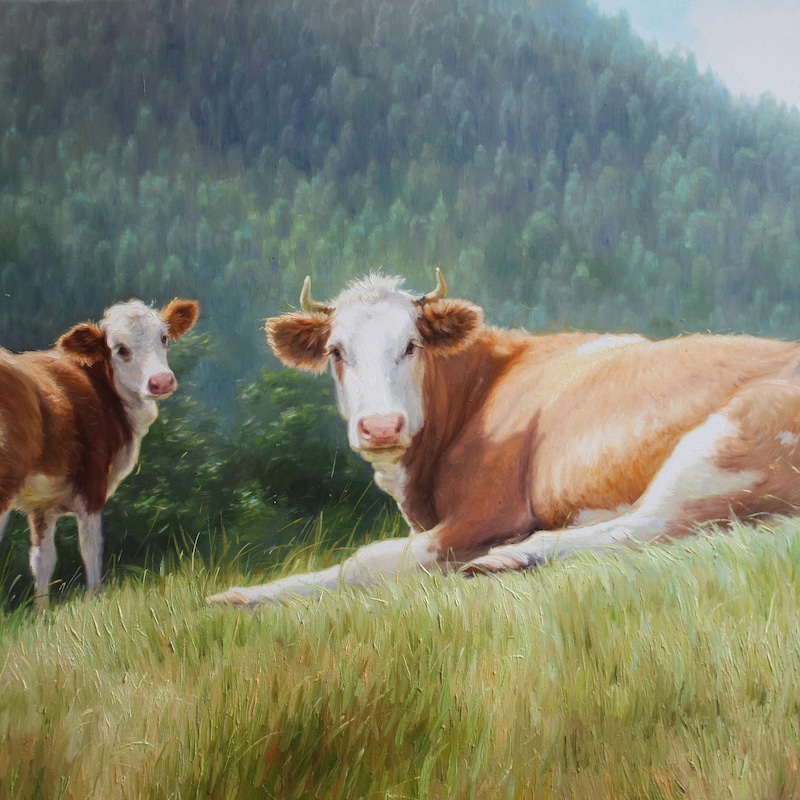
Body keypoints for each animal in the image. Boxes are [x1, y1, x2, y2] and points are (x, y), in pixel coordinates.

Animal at [0, 298, 199, 610]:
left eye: (164, 338)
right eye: (120, 349)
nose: (161, 381)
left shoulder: (42, 505)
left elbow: (42, 560)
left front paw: (42, 614)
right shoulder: (93, 483)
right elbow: (90, 547)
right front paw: (94, 599)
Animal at [206, 271, 800, 606]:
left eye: (411, 345)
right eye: (336, 351)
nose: (380, 426)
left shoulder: (489, 510)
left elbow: (366, 562)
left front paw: (242, 596)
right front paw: (238, 594)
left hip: (722, 444)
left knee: (653, 526)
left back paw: (508, 559)